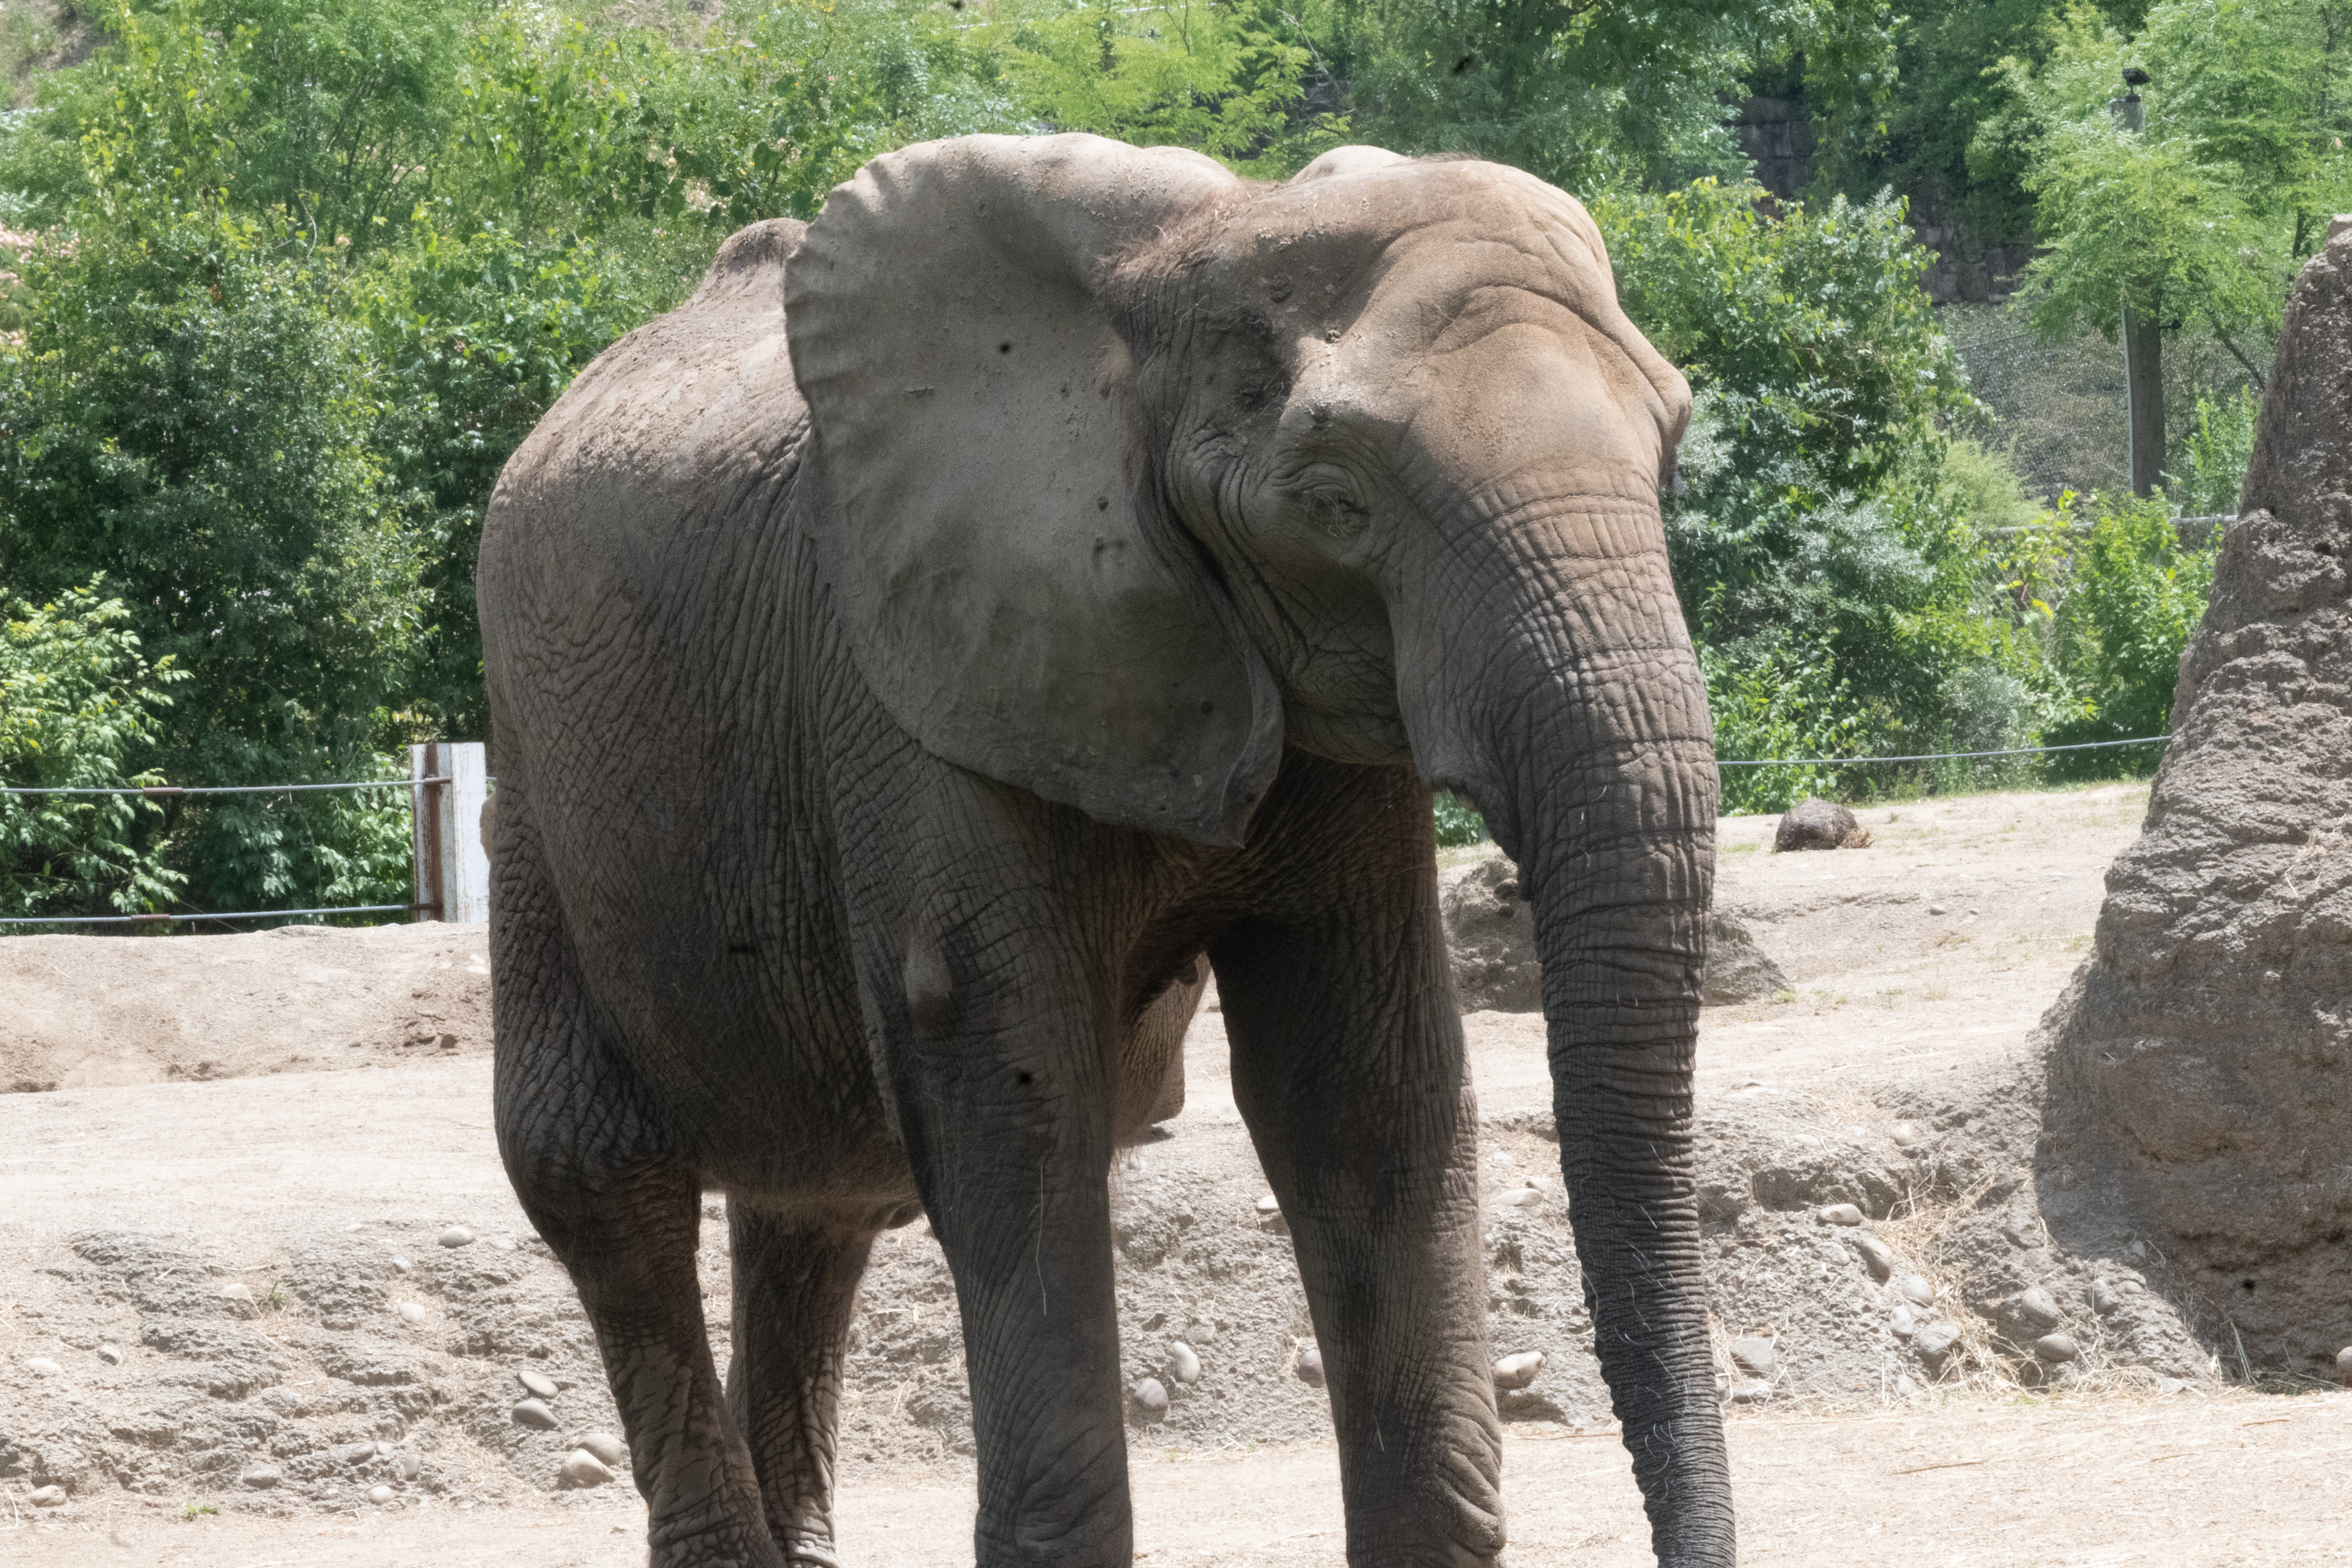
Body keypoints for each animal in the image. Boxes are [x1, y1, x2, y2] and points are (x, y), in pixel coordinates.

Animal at [477, 134, 1728, 1567]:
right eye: (1335, 501)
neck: (1200, 258)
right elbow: (1017, 1097)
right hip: (534, 770)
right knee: (599, 1174)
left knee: (817, 1211)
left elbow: (1361, 1085)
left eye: (1669, 458)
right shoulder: (916, 675)